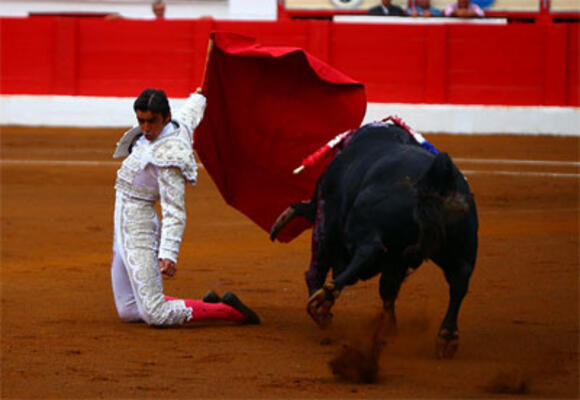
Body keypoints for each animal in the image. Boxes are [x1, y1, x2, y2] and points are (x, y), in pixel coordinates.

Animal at [270, 122, 478, 360]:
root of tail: (435, 177)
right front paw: (390, 326)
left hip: (359, 221)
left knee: (367, 251)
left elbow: (317, 268)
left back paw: (324, 299)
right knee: (459, 279)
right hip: (461, 248)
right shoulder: (397, 258)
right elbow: (388, 288)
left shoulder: (327, 213)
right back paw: (446, 336)